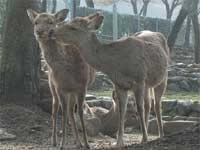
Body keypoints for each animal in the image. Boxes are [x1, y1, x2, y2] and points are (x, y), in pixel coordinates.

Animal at [26, 9, 95, 149]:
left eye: (50, 22)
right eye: (36, 22)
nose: (39, 31)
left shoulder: (82, 86)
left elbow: (80, 112)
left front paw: (87, 143)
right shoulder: (60, 88)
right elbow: (62, 113)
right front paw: (62, 144)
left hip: (72, 92)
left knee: (71, 111)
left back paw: (78, 142)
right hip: (52, 88)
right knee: (56, 110)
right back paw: (54, 141)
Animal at [48, 12, 169, 148]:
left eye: (73, 27)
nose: (51, 32)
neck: (117, 66)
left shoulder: (139, 79)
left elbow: (139, 108)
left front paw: (144, 139)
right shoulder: (119, 84)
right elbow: (122, 110)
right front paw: (119, 142)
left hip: (163, 77)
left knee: (157, 104)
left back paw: (160, 135)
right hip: (148, 84)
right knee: (149, 104)